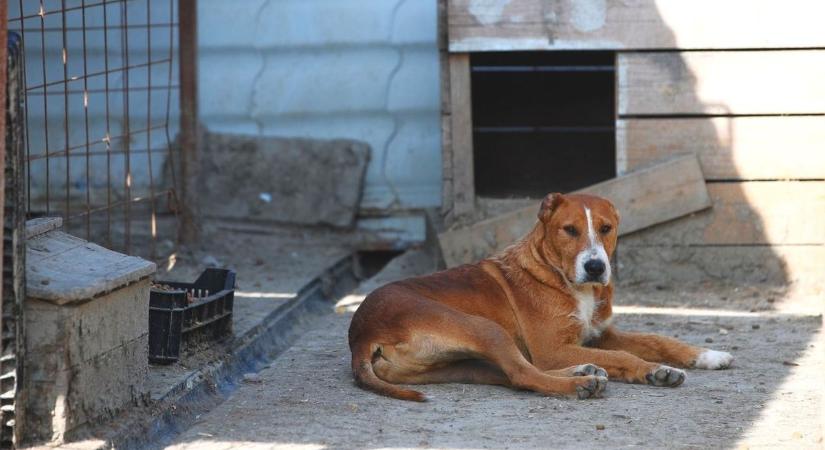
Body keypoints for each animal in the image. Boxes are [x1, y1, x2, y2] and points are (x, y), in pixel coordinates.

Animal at [344, 193, 732, 400]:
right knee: (523, 374)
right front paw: (651, 370)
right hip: (486, 329)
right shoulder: (551, 347)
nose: (595, 267)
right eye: (569, 230)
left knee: (509, 373)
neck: (570, 283)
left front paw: (705, 355)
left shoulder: (599, 333)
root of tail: (361, 334)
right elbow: (623, 355)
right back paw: (582, 382)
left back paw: (584, 370)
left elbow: (657, 339)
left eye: (606, 229)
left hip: (456, 365)